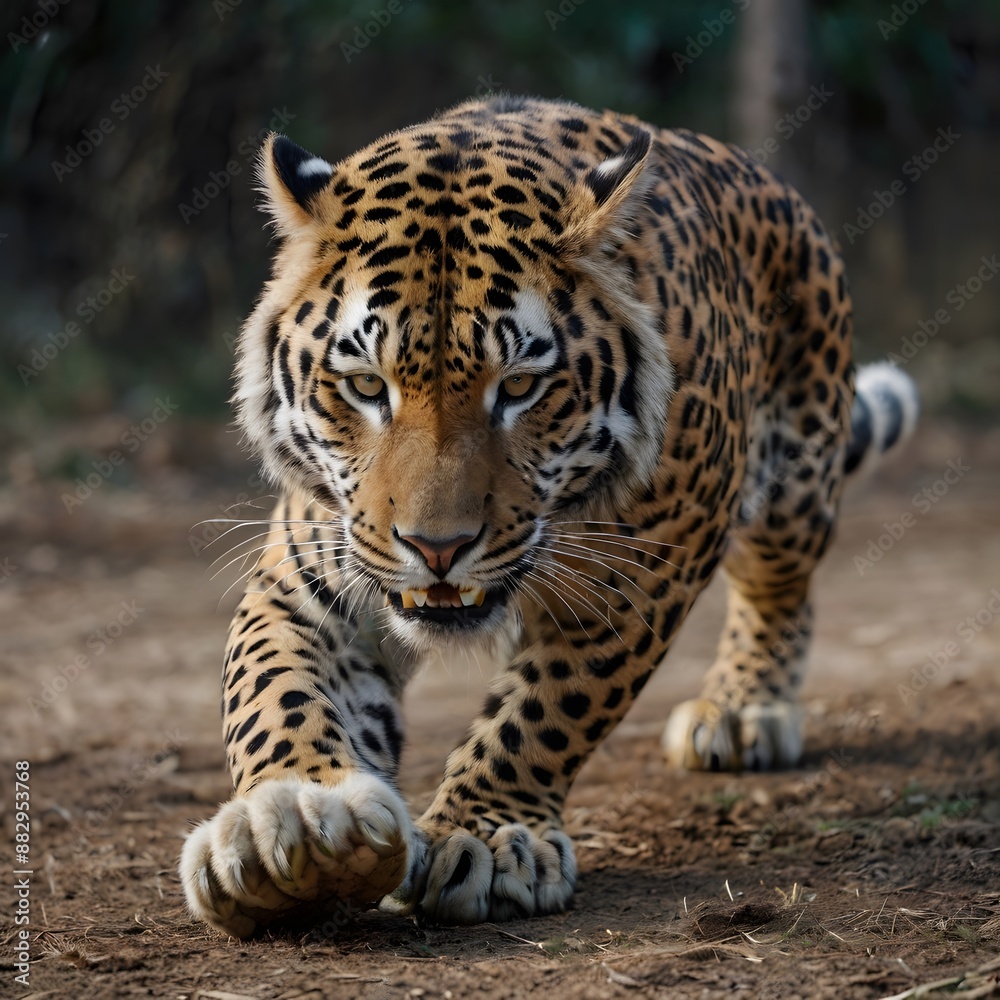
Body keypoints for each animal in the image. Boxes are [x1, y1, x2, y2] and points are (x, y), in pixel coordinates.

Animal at [179, 95, 918, 937]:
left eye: (522, 386)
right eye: (366, 386)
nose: (438, 548)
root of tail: (768, 183)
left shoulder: (638, 577)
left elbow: (547, 710)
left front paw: (488, 837)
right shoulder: (310, 576)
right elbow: (273, 688)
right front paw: (298, 824)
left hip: (795, 481)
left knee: (779, 587)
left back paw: (743, 711)